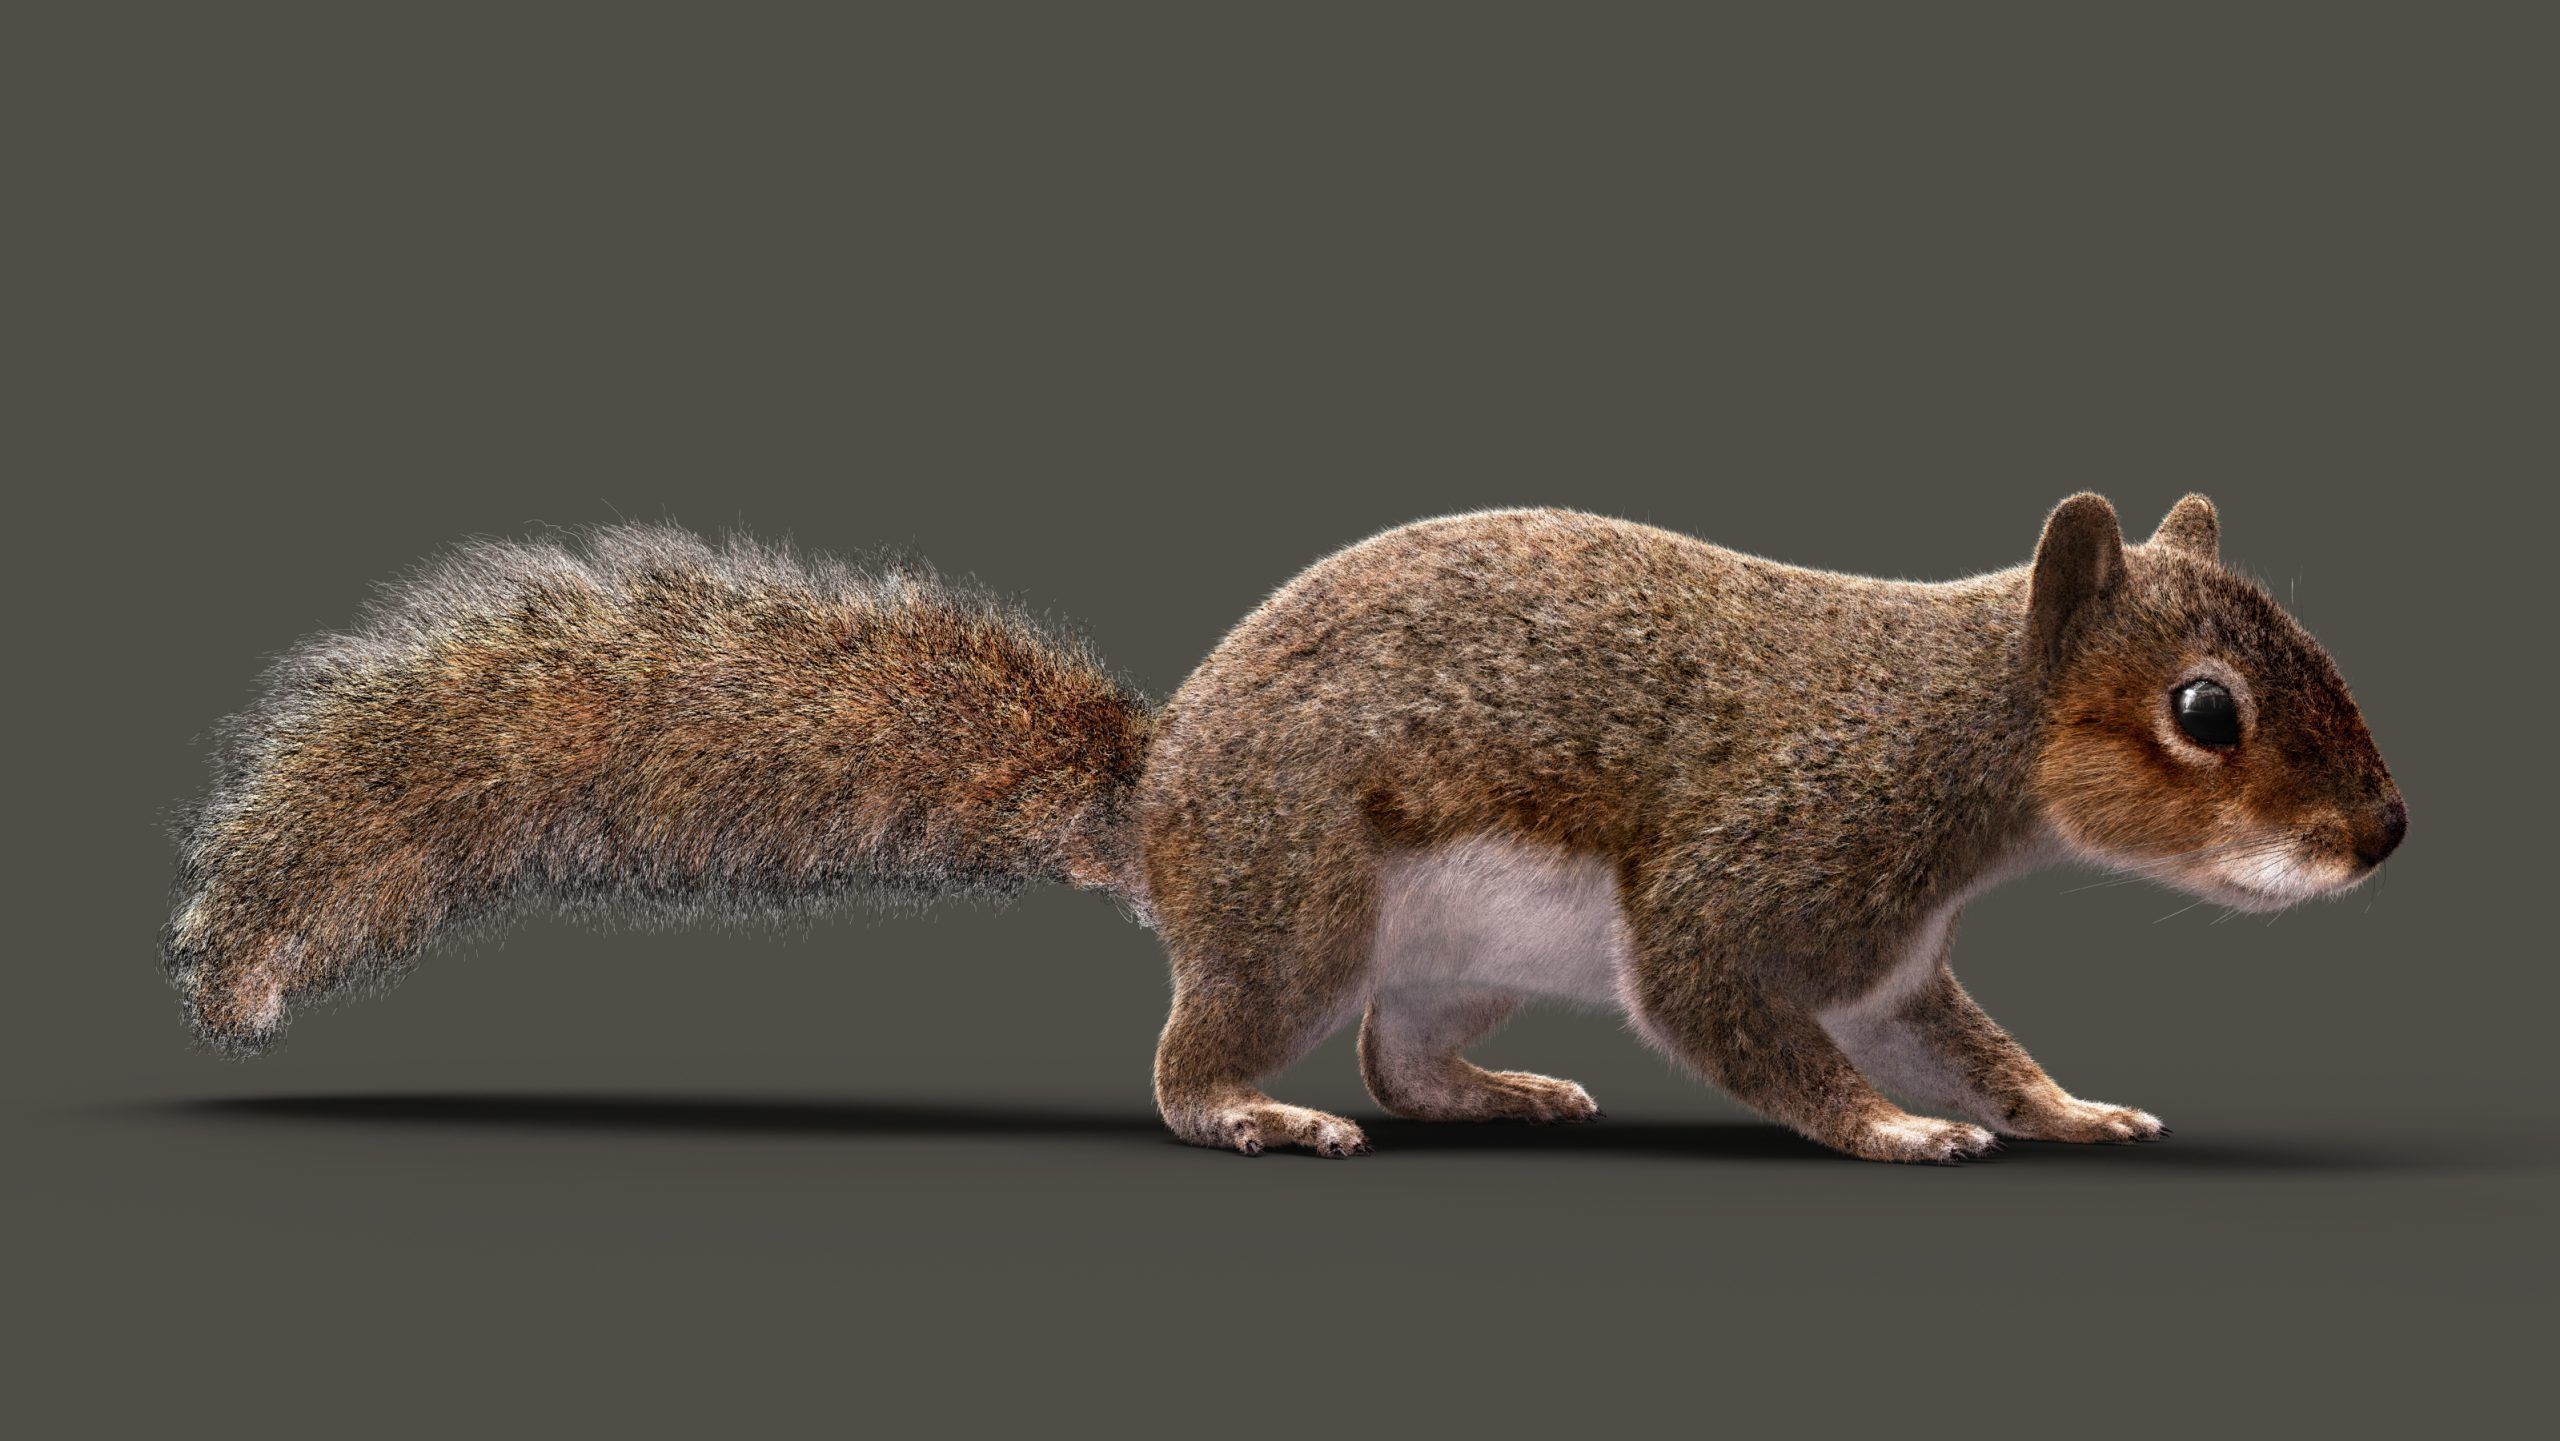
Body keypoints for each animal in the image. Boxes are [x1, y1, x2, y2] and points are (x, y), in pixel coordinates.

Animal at [165, 494, 2404, 1162]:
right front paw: (1888, 1139)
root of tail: (1166, 791)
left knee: (1409, 1057)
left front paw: (2066, 1107)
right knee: (1196, 1055)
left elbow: (1975, 1043)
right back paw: (1252, 1112)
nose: (2382, 837)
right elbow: (1743, 1022)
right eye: (2203, 714)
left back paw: (1497, 1090)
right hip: (1304, 903)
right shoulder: (1763, 870)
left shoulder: (1893, 956)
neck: (1946, 737)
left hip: (1428, 952)